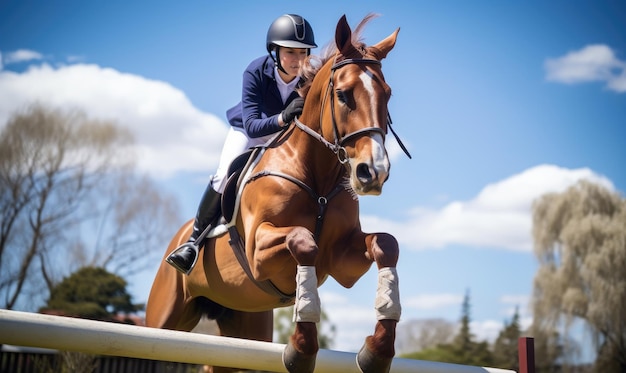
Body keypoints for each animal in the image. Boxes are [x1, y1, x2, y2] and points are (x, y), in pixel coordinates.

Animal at [146, 14, 400, 372]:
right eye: (343, 95)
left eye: (387, 95)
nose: (373, 172)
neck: (317, 176)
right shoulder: (258, 250)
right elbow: (303, 241)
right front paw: (302, 348)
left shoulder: (342, 261)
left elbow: (386, 245)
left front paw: (377, 350)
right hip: (164, 315)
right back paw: (185, 252)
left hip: (245, 324)